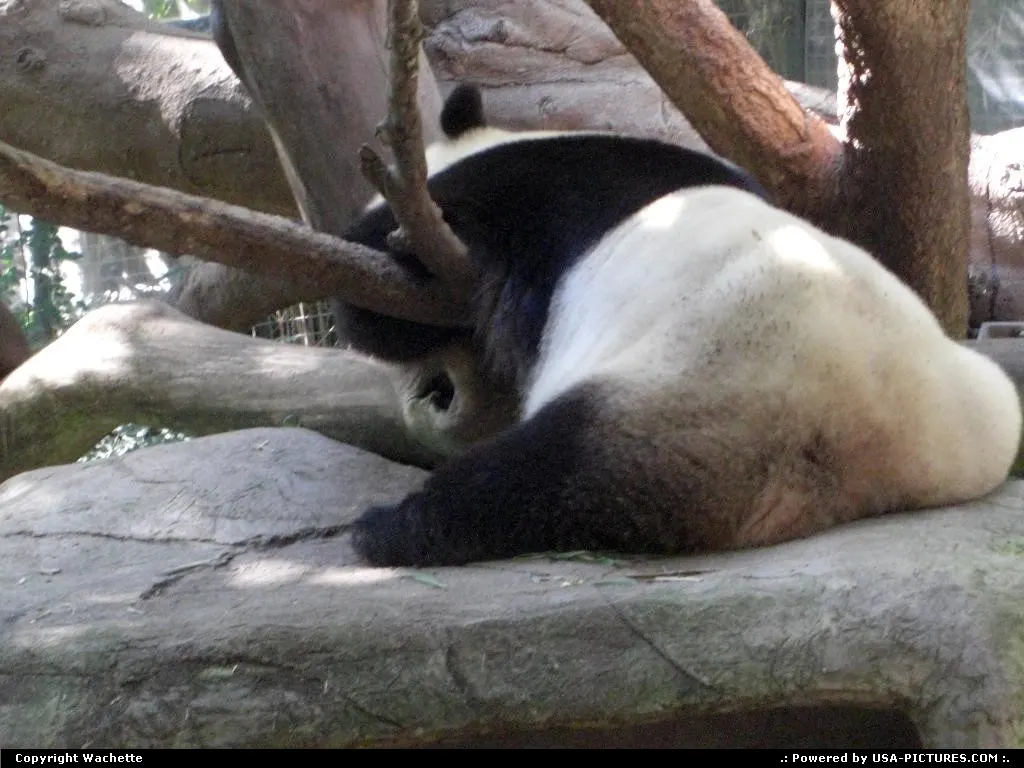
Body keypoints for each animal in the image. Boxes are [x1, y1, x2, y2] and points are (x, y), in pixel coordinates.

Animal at [340, 84, 1022, 567]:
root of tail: (865, 450)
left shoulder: (514, 191)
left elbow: (387, 296)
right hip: (977, 404)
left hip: (679, 403)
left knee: (536, 474)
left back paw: (388, 528)